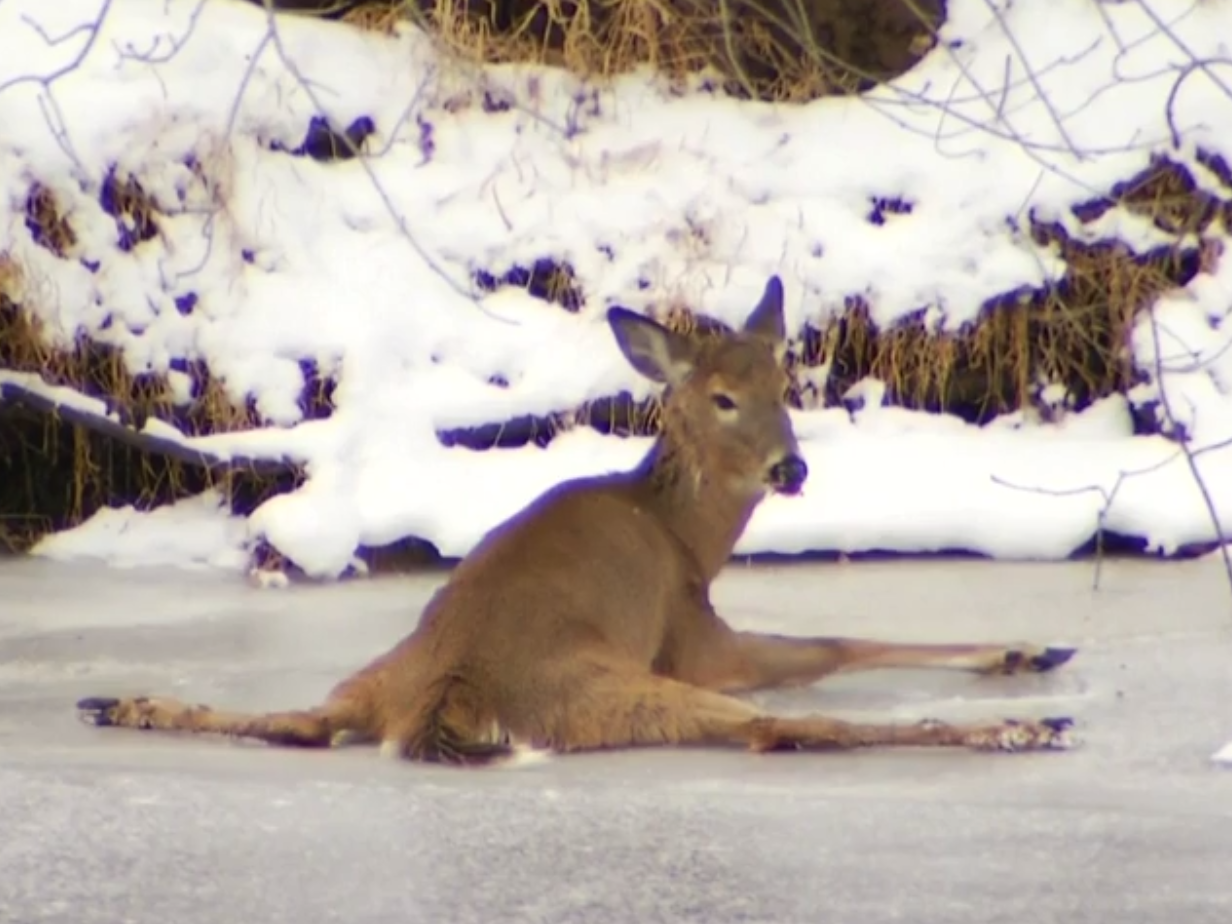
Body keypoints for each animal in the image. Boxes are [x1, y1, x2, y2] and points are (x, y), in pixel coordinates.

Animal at [76, 276, 1077, 764]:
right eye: (721, 397)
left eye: (784, 386)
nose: (790, 469)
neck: (684, 537)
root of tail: (448, 698)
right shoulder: (693, 635)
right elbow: (832, 645)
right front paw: (1025, 651)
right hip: (621, 685)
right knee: (781, 729)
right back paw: (1023, 730)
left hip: (378, 670)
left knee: (302, 721)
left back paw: (125, 701)